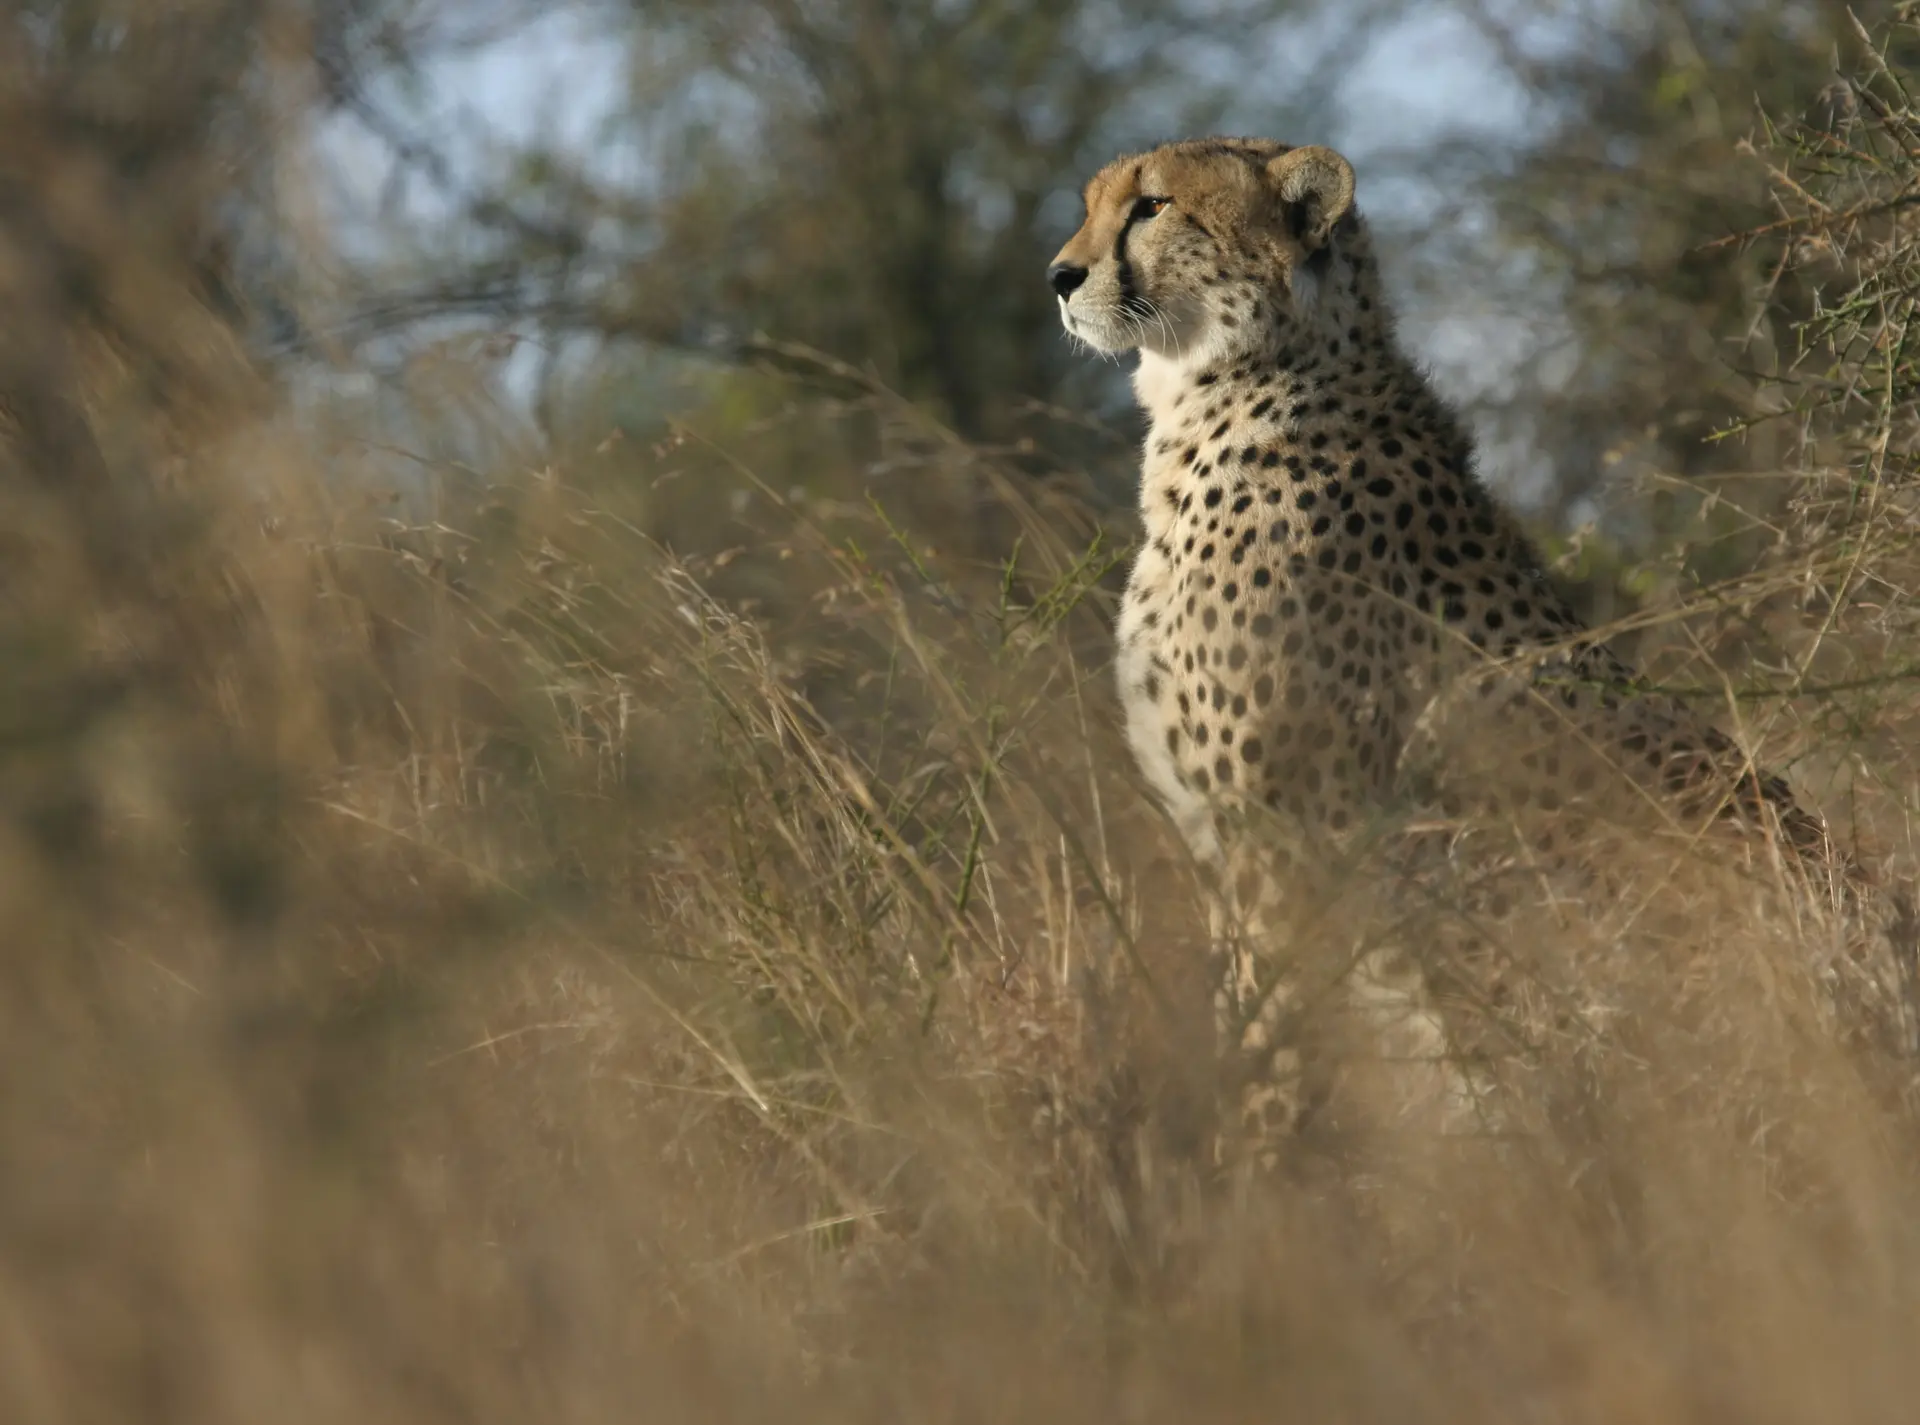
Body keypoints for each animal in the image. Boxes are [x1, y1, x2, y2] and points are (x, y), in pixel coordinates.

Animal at [1047, 136, 1911, 1171]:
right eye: (1095, 201)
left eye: (1153, 206)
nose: (1059, 277)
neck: (1242, 383)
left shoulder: (1286, 853)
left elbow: (1270, 1050)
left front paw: (1253, 1190)